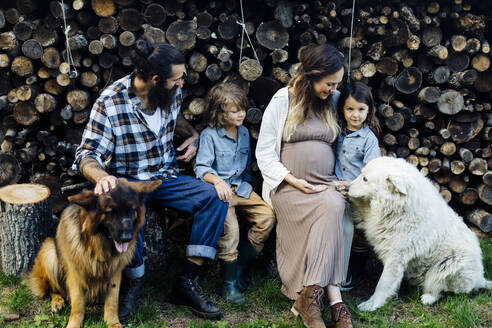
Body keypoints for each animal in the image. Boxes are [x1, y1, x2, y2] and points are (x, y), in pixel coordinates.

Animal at [348, 158, 490, 312]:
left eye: (365, 179)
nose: (347, 188)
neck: (398, 205)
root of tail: (480, 279)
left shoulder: (395, 257)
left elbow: (383, 284)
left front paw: (371, 305)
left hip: (450, 265)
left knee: (441, 289)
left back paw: (428, 298)